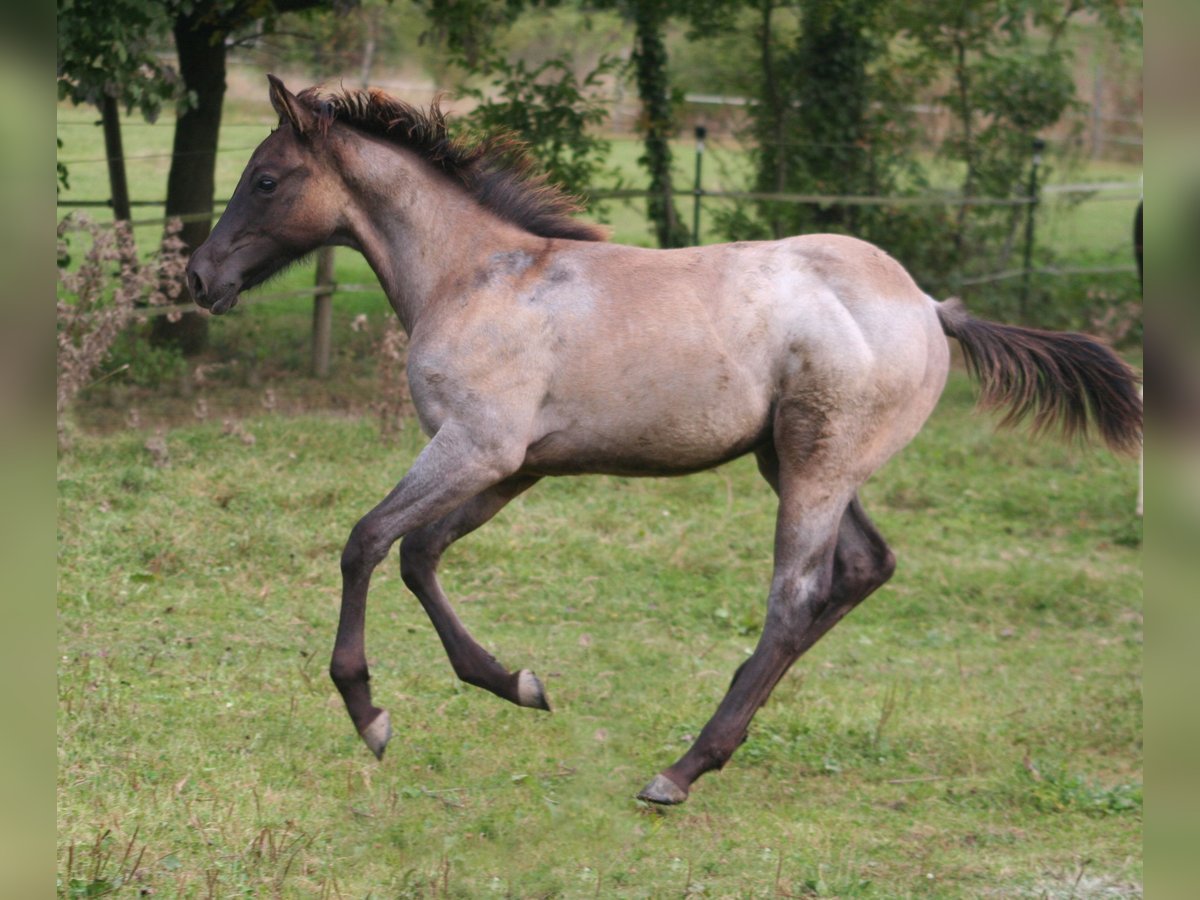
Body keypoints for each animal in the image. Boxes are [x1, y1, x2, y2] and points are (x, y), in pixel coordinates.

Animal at [187, 77, 1142, 801]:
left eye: (266, 178)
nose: (198, 277)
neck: (476, 275)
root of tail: (931, 306)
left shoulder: (476, 448)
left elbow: (366, 541)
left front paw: (370, 715)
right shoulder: (512, 468)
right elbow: (420, 554)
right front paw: (516, 684)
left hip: (816, 466)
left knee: (794, 598)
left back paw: (681, 770)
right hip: (796, 462)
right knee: (865, 569)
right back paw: (714, 746)